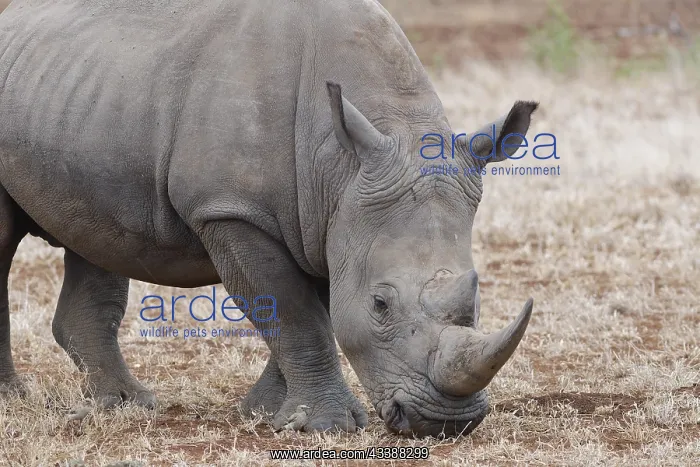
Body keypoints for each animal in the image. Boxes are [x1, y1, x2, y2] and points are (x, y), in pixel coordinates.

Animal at [0, 0, 537, 437]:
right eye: (381, 304)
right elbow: (295, 312)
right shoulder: (233, 211)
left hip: (84, 96)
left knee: (96, 235)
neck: (343, 163)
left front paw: (265, 414)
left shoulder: (326, 220)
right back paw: (17, 401)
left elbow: (314, 308)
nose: (446, 423)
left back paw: (125, 405)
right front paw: (324, 426)